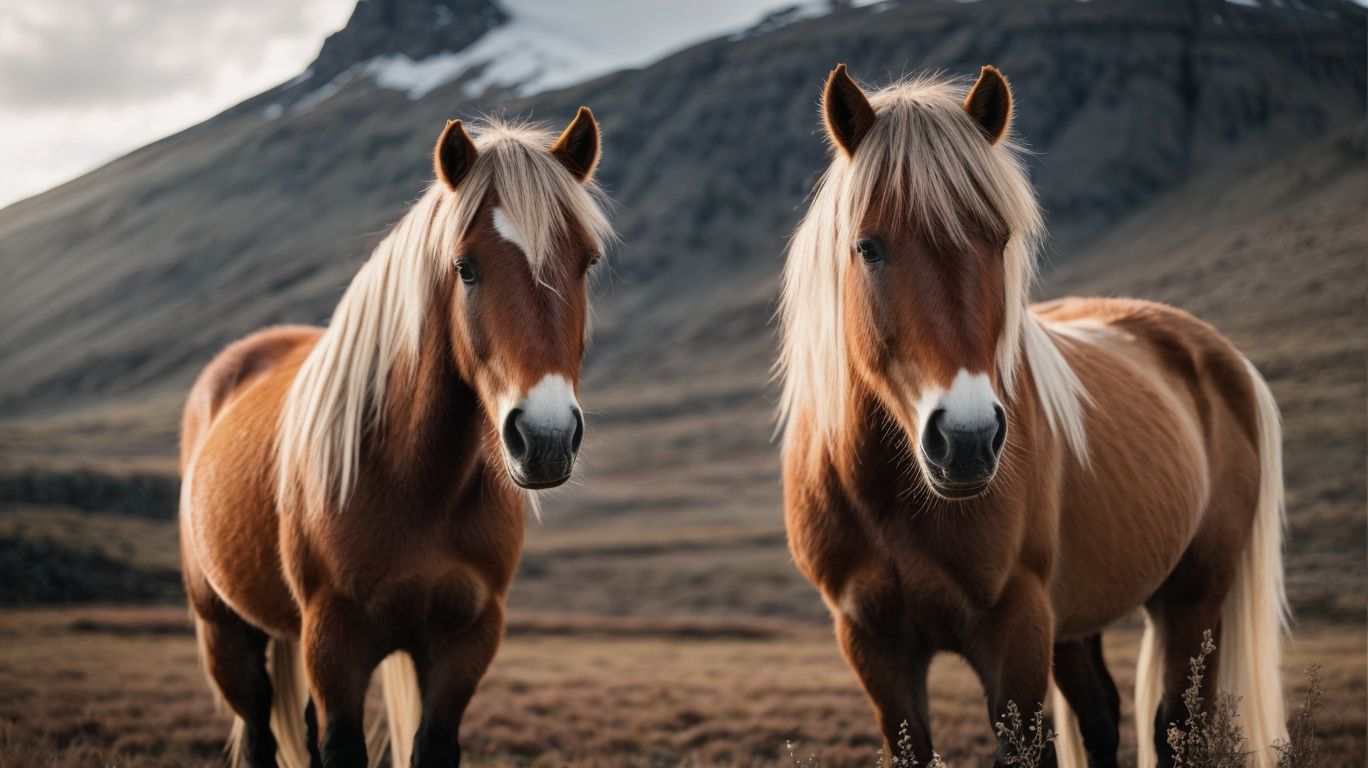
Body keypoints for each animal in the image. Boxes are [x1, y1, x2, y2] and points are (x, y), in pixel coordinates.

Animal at [178, 108, 614, 768]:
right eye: (465, 267)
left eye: (586, 263)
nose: (545, 437)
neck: (415, 482)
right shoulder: (334, 642)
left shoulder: (466, 642)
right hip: (224, 631)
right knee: (256, 732)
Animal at [776, 64, 1288, 767]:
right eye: (868, 247)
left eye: (998, 241)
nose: (966, 439)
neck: (891, 500)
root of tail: (1218, 354)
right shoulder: (873, 646)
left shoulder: (1016, 631)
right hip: (1075, 622)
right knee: (1101, 715)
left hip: (1194, 598)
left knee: (1177, 726)